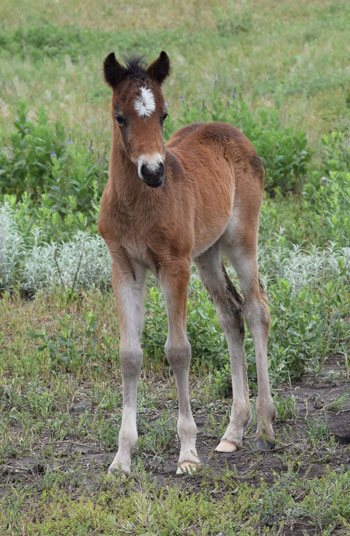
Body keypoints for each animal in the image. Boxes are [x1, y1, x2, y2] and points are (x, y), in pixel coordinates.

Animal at [98, 52, 276, 476]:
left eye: (163, 114)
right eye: (119, 116)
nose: (153, 171)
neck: (137, 205)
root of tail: (233, 131)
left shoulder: (173, 264)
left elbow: (178, 350)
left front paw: (188, 453)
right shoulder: (123, 266)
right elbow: (129, 355)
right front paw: (121, 459)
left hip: (241, 239)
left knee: (257, 308)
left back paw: (264, 425)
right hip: (206, 253)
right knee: (231, 312)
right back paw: (233, 431)